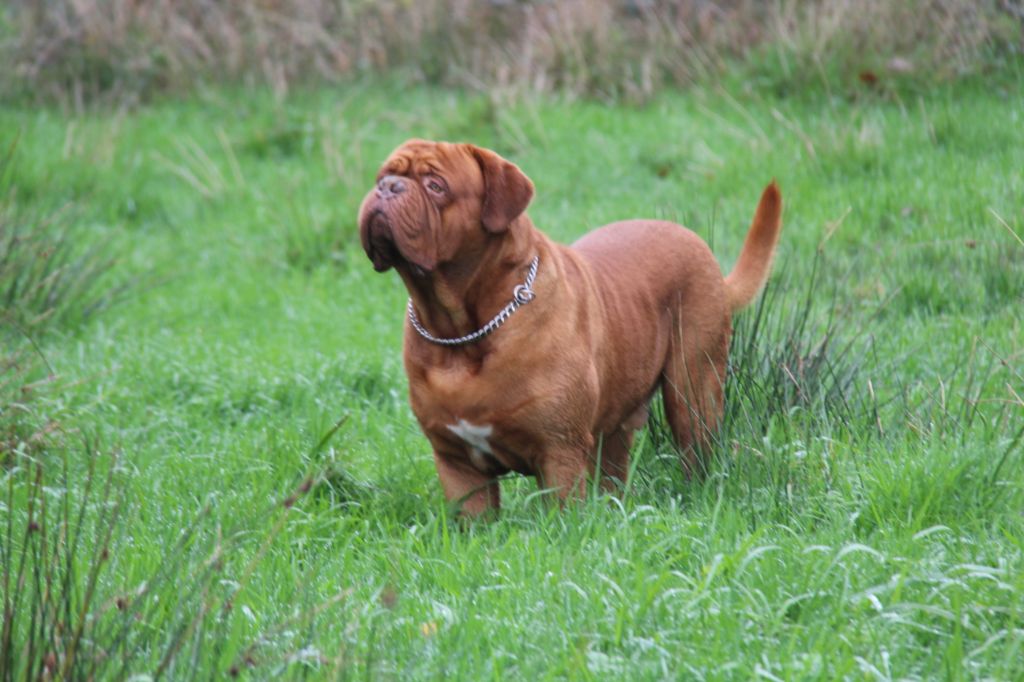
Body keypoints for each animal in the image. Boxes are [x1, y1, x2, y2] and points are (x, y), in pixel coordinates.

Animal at [360, 138, 782, 512]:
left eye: (436, 186)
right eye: (383, 175)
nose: (388, 187)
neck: (461, 330)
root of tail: (705, 255)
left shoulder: (558, 452)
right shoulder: (458, 465)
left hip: (693, 390)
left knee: (696, 448)